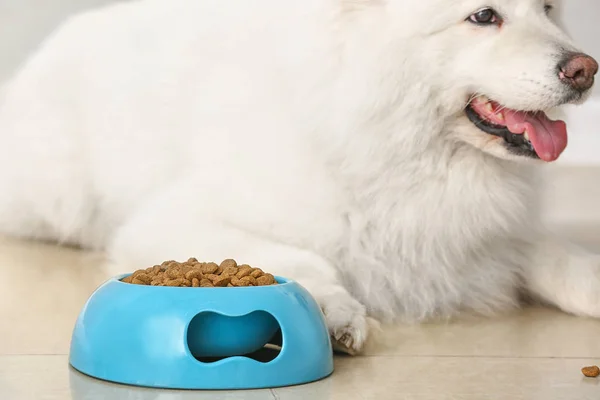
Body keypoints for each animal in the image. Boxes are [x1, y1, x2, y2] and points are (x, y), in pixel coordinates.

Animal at [1, 0, 600, 354]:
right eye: (482, 16)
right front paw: (333, 312)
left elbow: (562, 260)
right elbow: (305, 259)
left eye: (549, 8)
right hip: (53, 200)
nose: (585, 69)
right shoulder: (172, 220)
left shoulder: (494, 237)